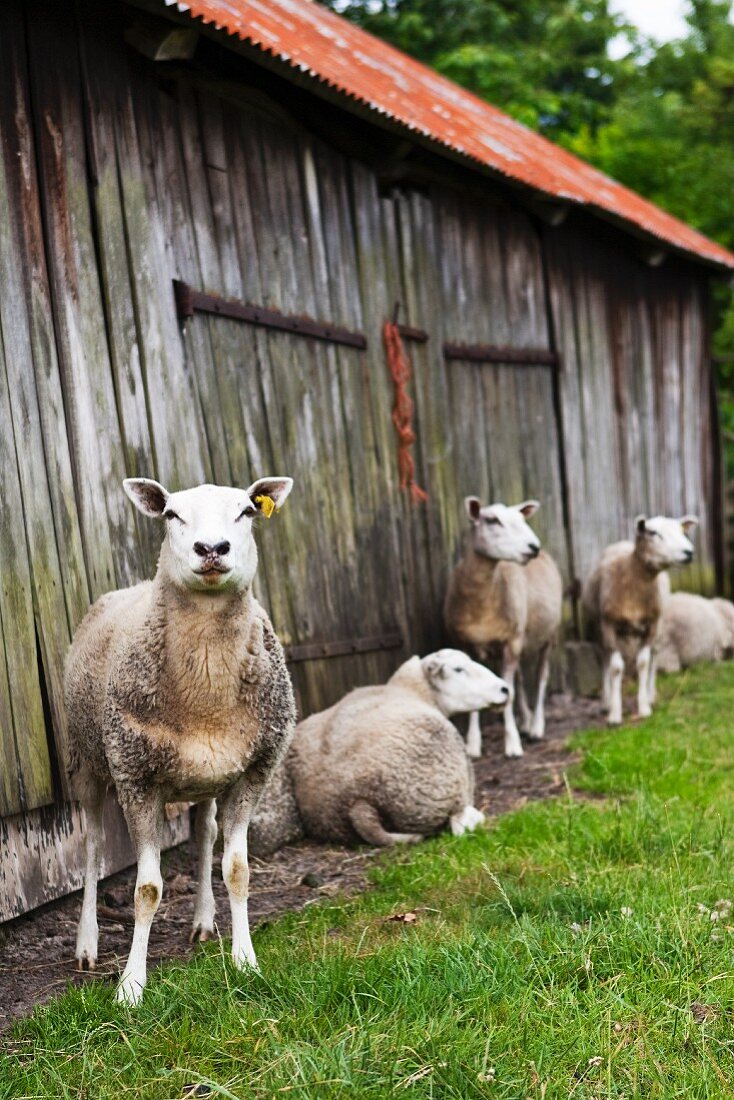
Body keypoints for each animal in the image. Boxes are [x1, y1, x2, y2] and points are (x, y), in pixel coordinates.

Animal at [65, 477, 294, 1003]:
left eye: (247, 511)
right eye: (171, 514)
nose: (211, 549)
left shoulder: (253, 772)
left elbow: (237, 870)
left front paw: (245, 961)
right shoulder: (136, 779)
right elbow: (146, 889)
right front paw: (131, 986)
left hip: (205, 778)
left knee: (204, 834)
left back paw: (204, 922)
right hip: (86, 760)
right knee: (91, 847)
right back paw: (87, 944)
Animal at [249, 646, 508, 853]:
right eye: (458, 669)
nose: (505, 689)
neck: (414, 690)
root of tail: (360, 803)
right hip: (445, 786)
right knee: (460, 823)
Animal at [442, 497, 563, 756]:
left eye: (522, 520)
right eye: (492, 520)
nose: (533, 547)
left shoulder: (512, 642)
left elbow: (510, 690)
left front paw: (513, 745)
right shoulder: (465, 644)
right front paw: (473, 745)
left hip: (548, 636)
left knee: (541, 677)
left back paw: (536, 727)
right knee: (519, 679)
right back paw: (526, 722)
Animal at [581, 512, 699, 726]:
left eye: (682, 531)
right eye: (653, 533)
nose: (689, 552)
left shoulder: (651, 624)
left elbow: (644, 663)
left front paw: (644, 707)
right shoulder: (608, 625)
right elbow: (615, 668)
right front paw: (614, 713)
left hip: (659, 625)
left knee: (654, 656)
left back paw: (650, 695)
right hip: (599, 629)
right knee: (605, 661)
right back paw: (606, 701)